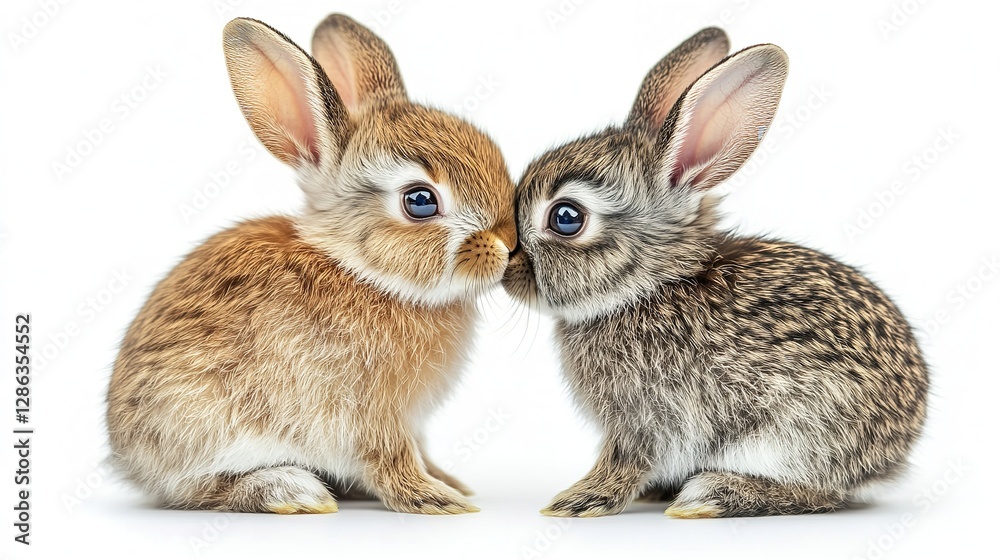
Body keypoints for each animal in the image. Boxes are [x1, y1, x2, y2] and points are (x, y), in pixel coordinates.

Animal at [105, 14, 516, 515]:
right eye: (420, 201)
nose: (508, 244)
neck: (364, 272)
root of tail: (128, 457)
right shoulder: (373, 413)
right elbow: (392, 458)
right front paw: (437, 500)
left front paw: (449, 481)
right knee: (198, 490)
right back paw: (292, 490)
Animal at [502, 27, 928, 518]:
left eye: (566, 218)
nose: (507, 267)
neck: (651, 287)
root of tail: (897, 449)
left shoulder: (647, 420)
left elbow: (624, 461)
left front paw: (578, 501)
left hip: (796, 433)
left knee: (822, 493)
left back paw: (712, 494)